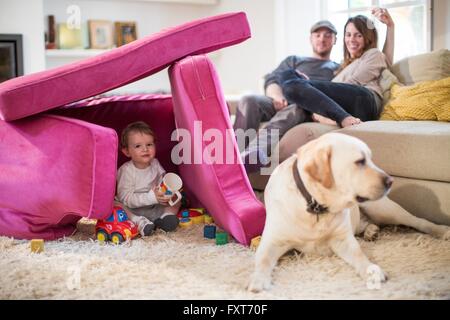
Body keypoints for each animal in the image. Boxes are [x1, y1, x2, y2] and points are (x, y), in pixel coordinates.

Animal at [250, 132, 450, 292]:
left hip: (382, 209)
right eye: (360, 161)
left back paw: (441, 230)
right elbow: (262, 260)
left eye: (370, 159)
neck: (315, 205)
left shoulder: (342, 240)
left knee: (418, 221)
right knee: (365, 224)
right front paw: (258, 280)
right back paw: (371, 231)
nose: (391, 181)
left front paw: (372, 271)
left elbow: (359, 254)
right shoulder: (272, 241)